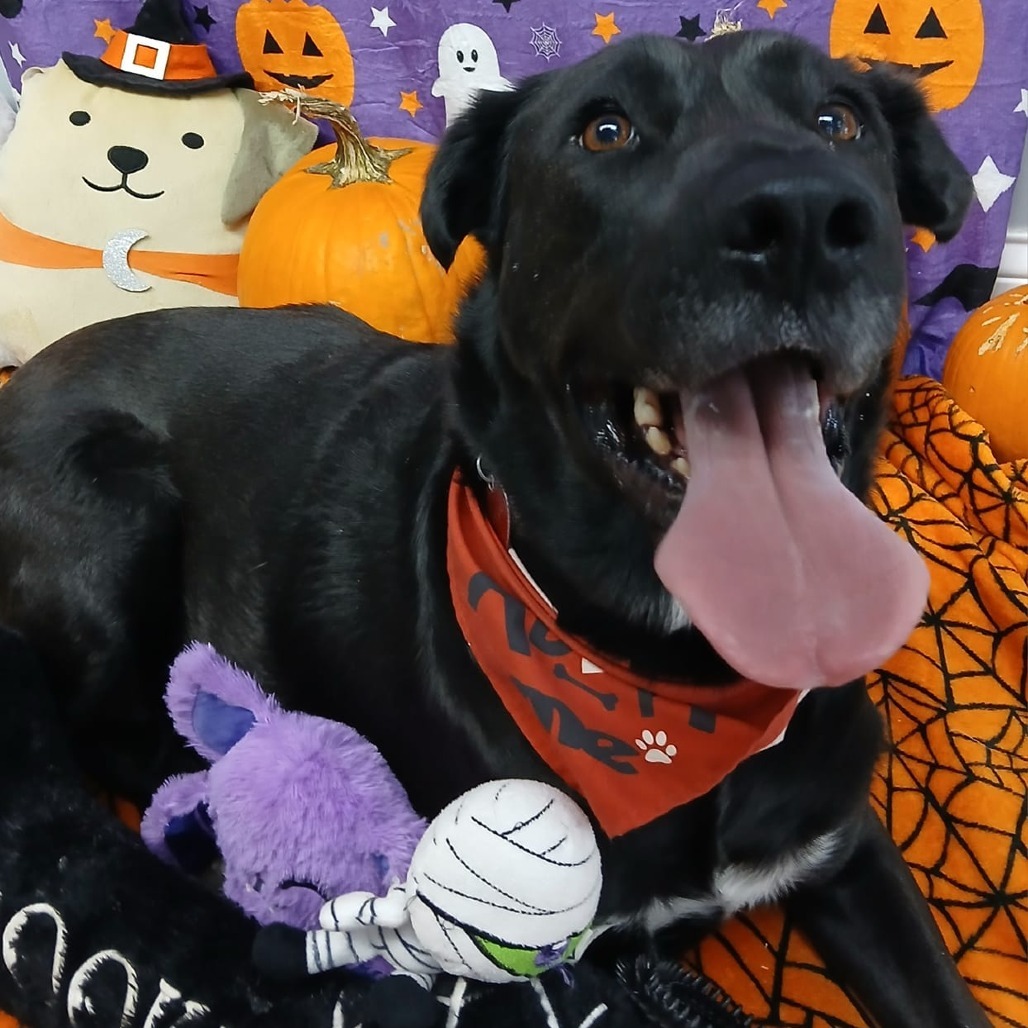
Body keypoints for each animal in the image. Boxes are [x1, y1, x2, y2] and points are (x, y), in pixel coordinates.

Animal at [0, 30, 986, 1028]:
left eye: (838, 120)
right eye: (604, 130)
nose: (802, 216)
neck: (670, 678)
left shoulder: (848, 849)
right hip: (113, 506)